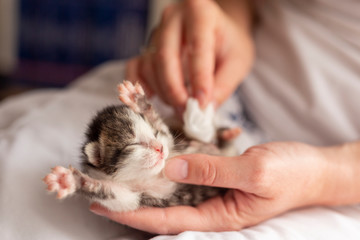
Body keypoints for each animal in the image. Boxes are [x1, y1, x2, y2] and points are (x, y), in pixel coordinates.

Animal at [43, 81, 240, 212]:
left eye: (154, 134)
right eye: (134, 143)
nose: (159, 148)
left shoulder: (169, 142)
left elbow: (163, 128)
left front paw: (138, 101)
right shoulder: (132, 197)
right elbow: (113, 194)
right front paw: (70, 180)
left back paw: (225, 133)